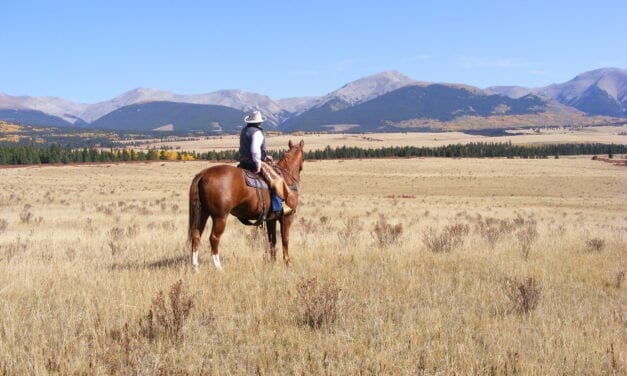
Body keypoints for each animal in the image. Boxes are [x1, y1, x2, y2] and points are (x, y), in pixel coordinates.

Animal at [186, 140, 304, 268]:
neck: (287, 177)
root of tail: (203, 174)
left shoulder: (271, 219)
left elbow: (272, 240)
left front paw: (273, 262)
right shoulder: (287, 217)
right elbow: (285, 239)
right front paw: (288, 262)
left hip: (203, 213)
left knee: (196, 235)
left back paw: (195, 267)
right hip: (220, 217)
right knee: (214, 238)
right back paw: (218, 267)